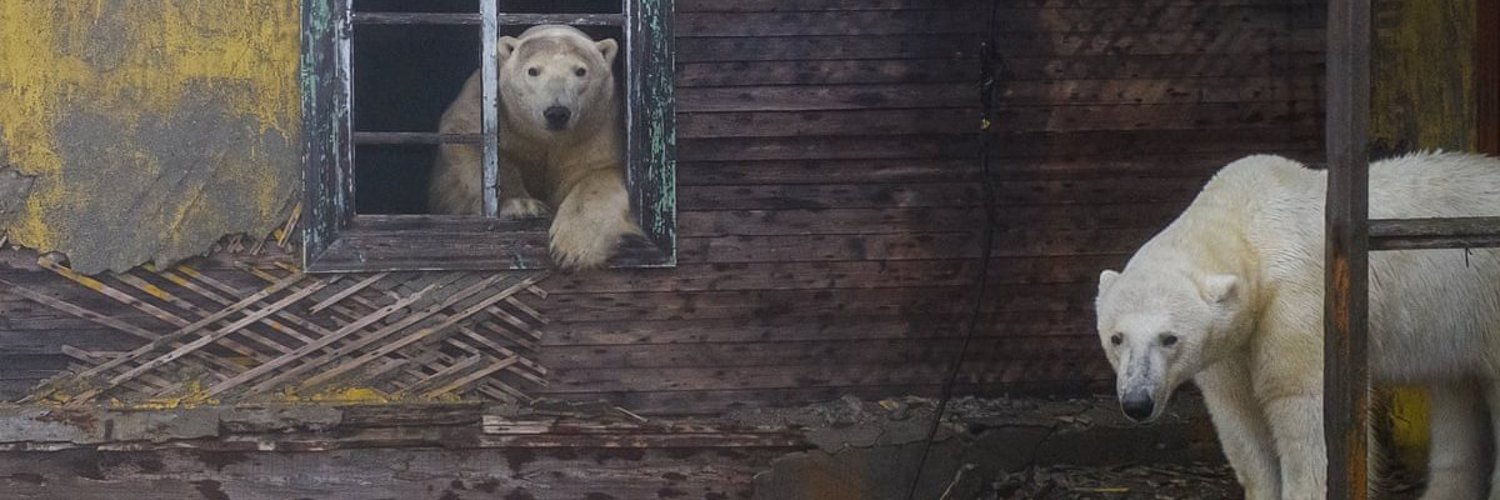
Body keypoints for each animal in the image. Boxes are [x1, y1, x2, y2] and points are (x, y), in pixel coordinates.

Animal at [432, 24, 648, 270]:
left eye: (580, 71)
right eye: (533, 71)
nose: (557, 112)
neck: (547, 138)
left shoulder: (598, 127)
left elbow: (600, 174)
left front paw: (571, 249)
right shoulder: (487, 106)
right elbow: (469, 140)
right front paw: (523, 206)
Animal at [1098, 151, 1500, 498]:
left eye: (1170, 338)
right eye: (1116, 338)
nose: (1137, 402)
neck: (1247, 224)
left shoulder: (1296, 303)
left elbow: (1301, 404)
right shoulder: (1232, 341)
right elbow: (1238, 414)